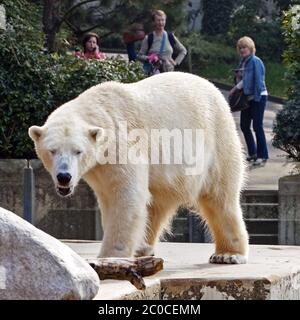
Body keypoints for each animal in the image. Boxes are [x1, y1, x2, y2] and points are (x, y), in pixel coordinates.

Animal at [28, 71, 248, 264]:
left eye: (78, 151)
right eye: (52, 151)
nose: (64, 176)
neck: (103, 111)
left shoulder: (123, 147)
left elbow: (126, 196)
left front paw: (110, 256)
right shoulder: (99, 169)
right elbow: (110, 198)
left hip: (217, 141)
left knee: (220, 197)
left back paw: (228, 254)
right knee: (157, 202)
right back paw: (143, 247)